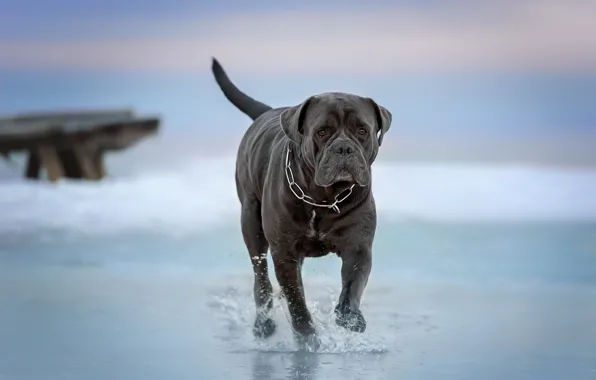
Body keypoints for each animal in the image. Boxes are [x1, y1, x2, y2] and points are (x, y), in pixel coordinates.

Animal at [211, 58, 392, 348]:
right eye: (322, 131)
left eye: (362, 130)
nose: (343, 148)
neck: (323, 198)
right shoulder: (284, 252)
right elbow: (296, 299)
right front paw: (307, 336)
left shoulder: (358, 245)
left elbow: (354, 282)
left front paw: (350, 317)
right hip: (251, 220)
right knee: (260, 275)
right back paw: (264, 323)